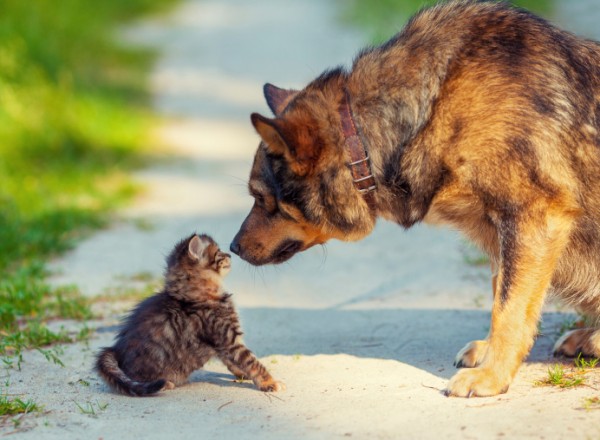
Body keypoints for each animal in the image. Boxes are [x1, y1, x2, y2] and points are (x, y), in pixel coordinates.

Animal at [95, 234, 284, 396]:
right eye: (218, 253)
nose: (230, 254)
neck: (196, 296)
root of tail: (115, 350)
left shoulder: (223, 344)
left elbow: (232, 363)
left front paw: (242, 375)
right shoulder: (228, 339)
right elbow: (253, 363)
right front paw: (269, 382)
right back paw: (166, 383)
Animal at [229, 0, 600, 398]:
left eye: (261, 198)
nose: (232, 247)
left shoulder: (531, 219)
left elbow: (509, 308)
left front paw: (492, 374)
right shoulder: (506, 233)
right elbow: (500, 292)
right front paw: (489, 354)